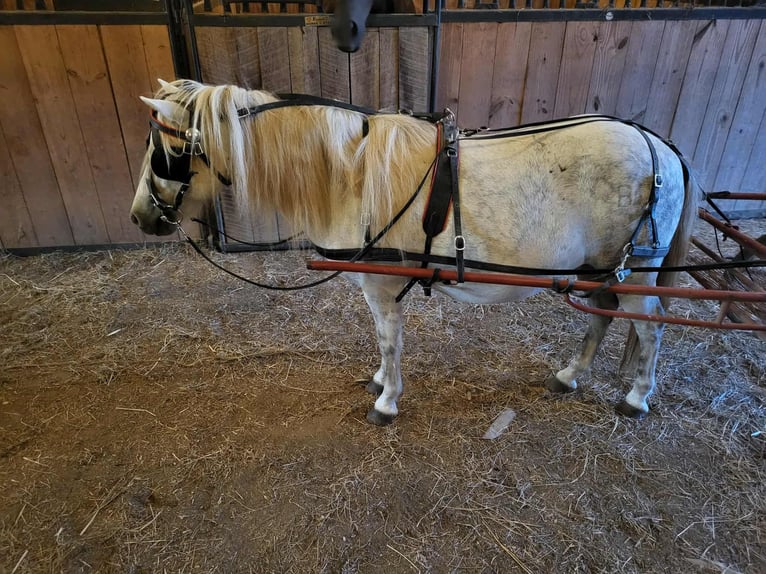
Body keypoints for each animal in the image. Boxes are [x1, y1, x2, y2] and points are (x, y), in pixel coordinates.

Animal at [130, 79, 696, 426]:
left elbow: (388, 341)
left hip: (634, 270)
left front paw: (386, 399)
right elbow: (382, 343)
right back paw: (569, 375)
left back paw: (637, 397)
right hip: (601, 269)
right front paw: (382, 383)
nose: (140, 216)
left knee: (649, 327)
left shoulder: (382, 287)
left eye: (167, 152)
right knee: (601, 316)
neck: (349, 173)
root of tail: (660, 146)